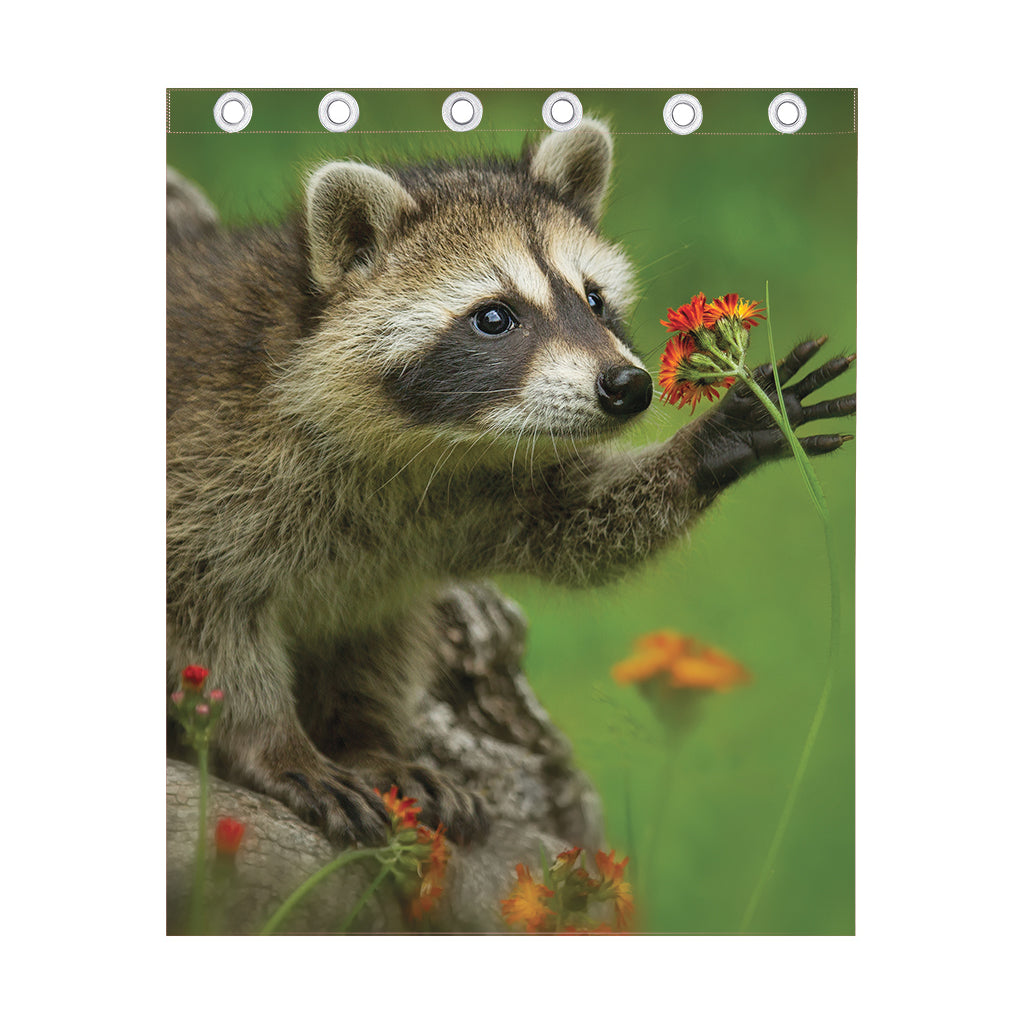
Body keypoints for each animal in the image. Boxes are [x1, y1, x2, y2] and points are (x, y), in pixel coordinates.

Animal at [167, 119, 854, 844]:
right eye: (494, 317)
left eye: (594, 299)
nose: (629, 387)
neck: (417, 444)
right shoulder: (211, 465)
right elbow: (209, 624)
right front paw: (274, 744)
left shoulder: (473, 487)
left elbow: (572, 526)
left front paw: (710, 444)